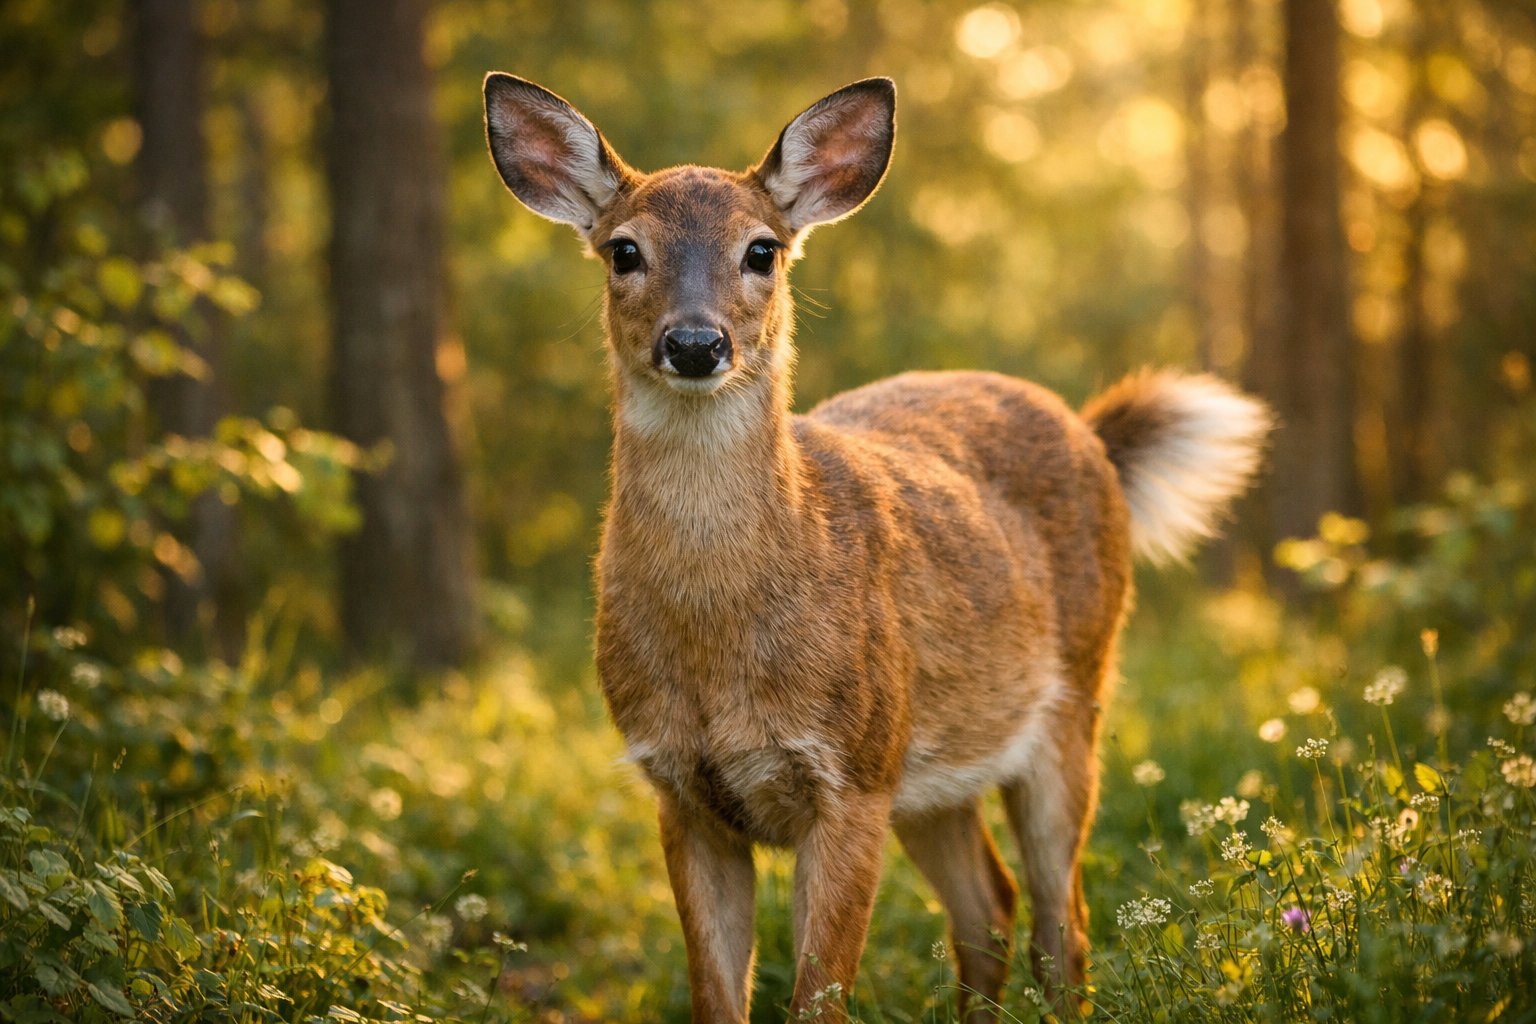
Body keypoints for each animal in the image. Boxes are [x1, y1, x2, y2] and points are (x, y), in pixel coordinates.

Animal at [483, 73, 1271, 1022]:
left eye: (763, 250)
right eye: (623, 251)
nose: (697, 342)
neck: (720, 644)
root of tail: (1090, 431)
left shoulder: (853, 775)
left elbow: (819, 999)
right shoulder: (679, 790)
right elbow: (717, 998)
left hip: (1071, 699)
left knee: (1064, 921)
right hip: (932, 767)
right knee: (990, 906)